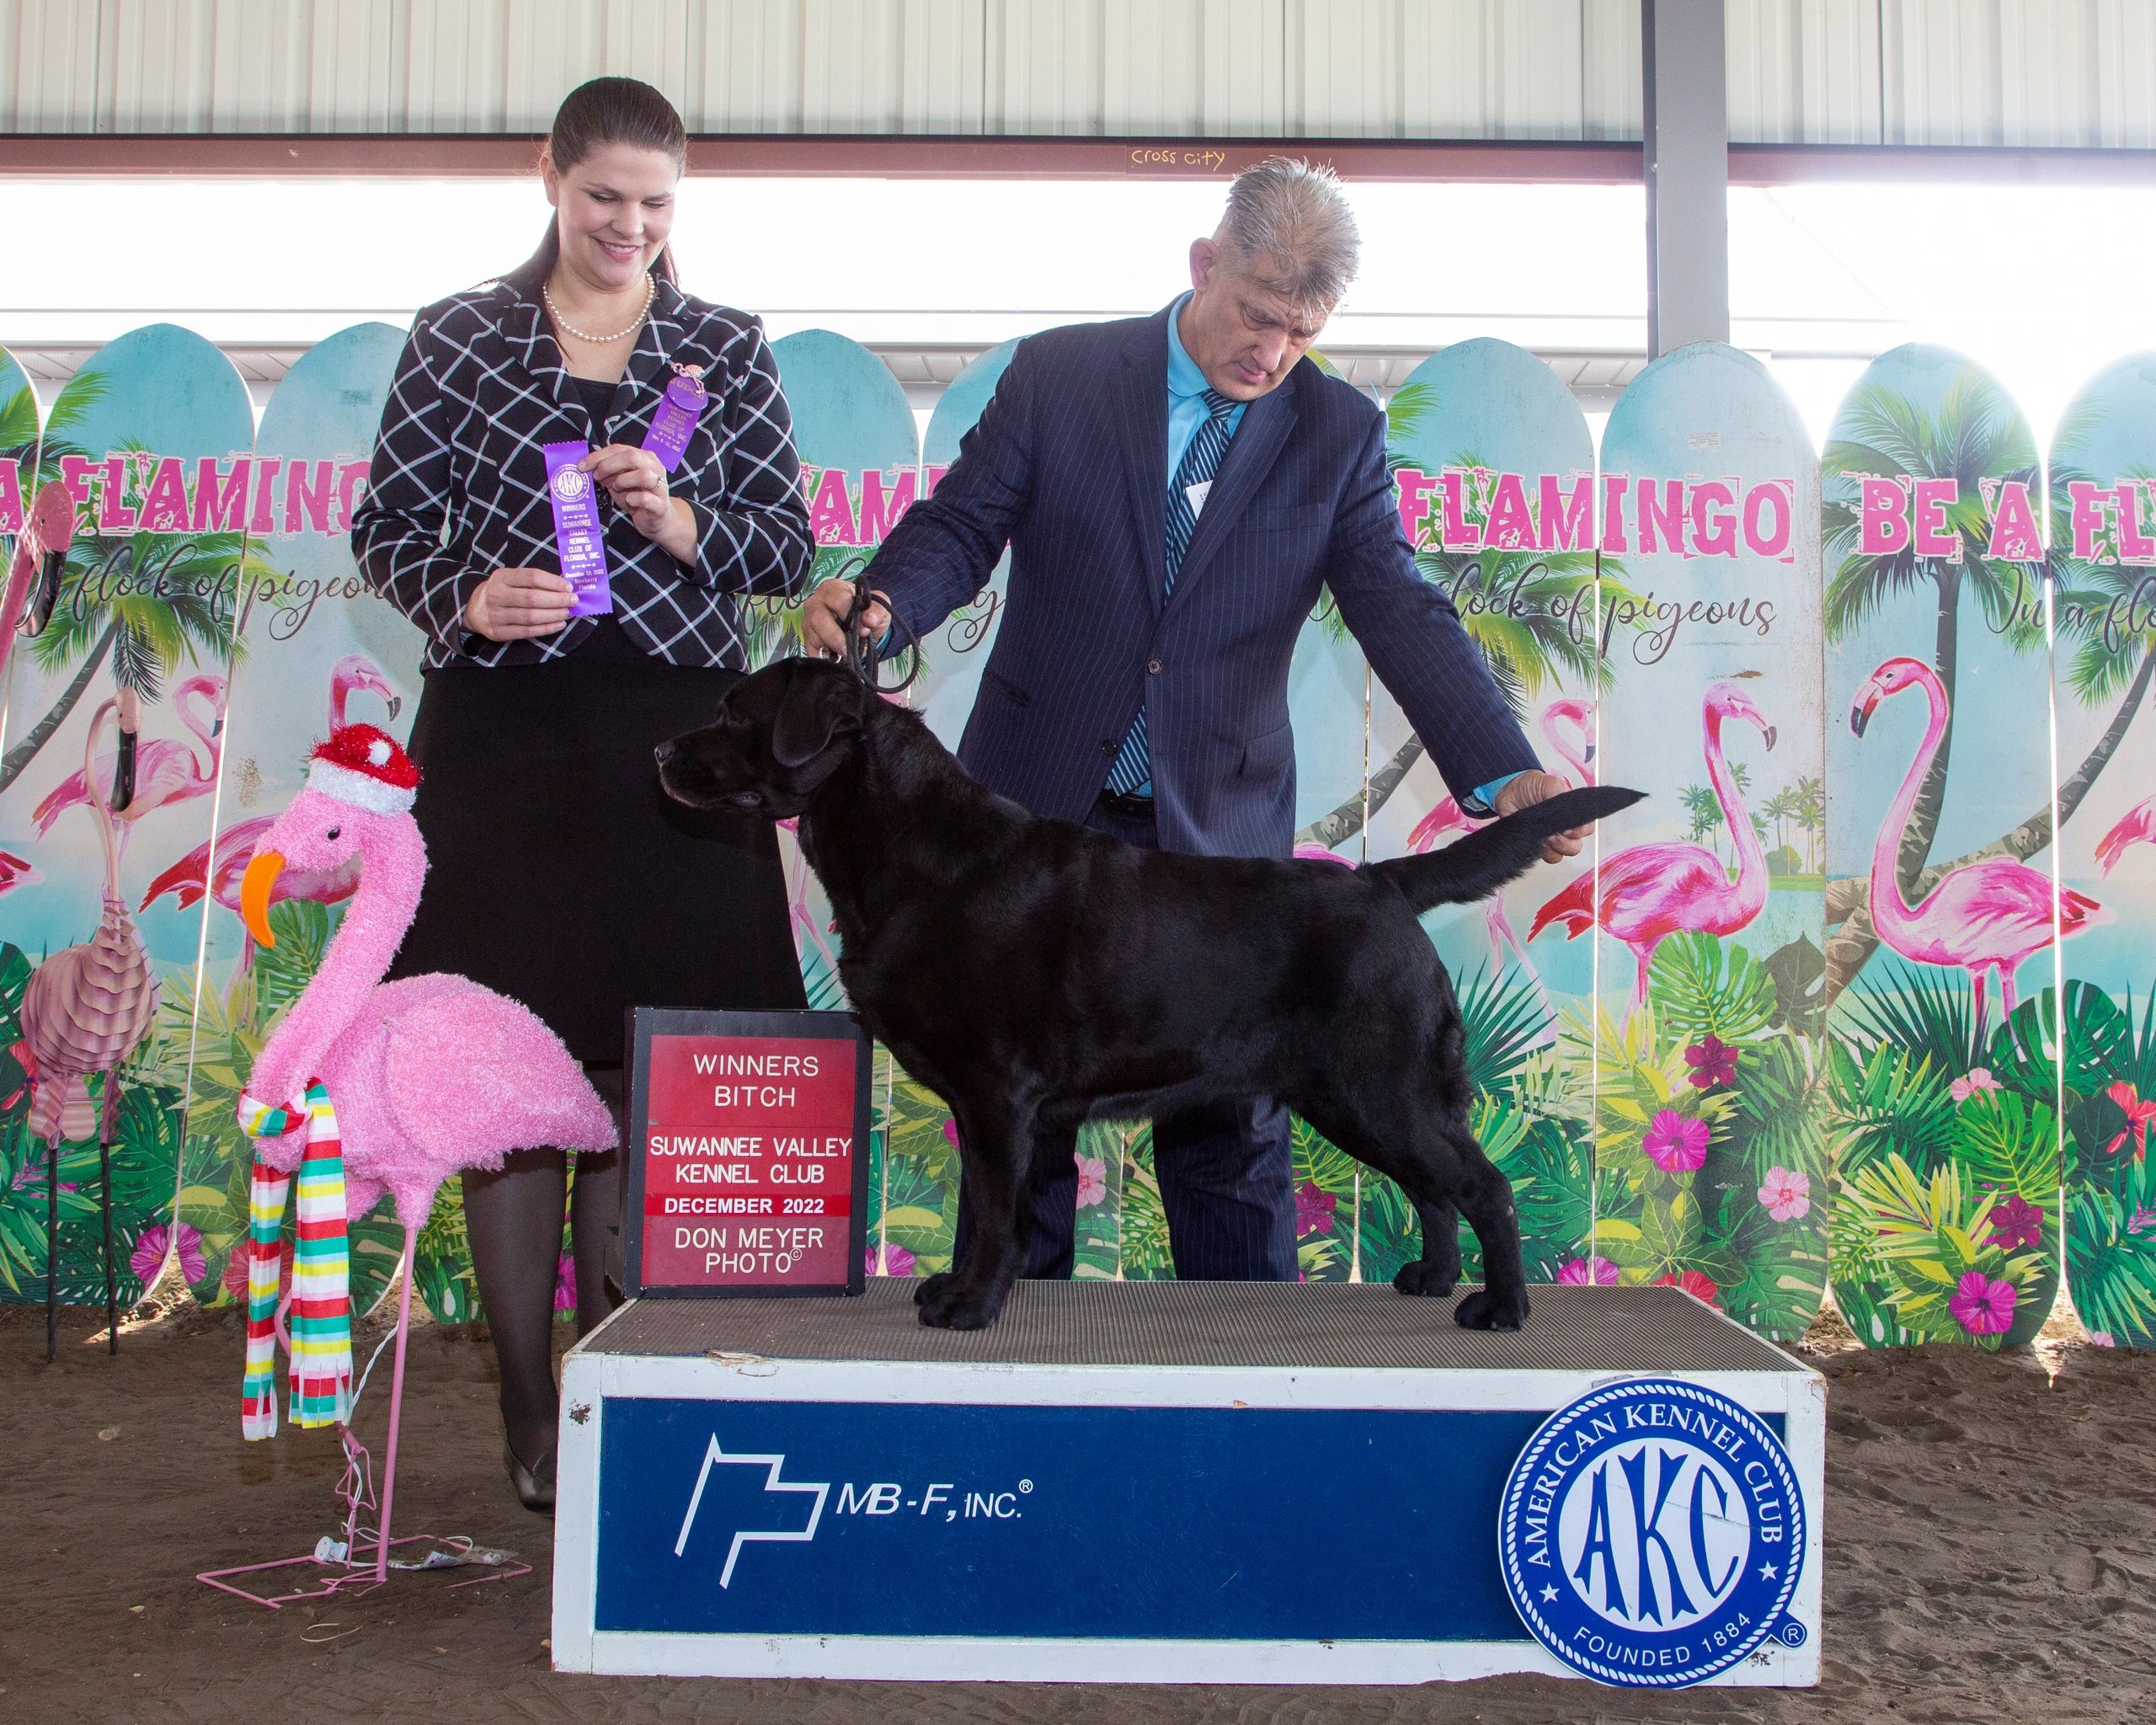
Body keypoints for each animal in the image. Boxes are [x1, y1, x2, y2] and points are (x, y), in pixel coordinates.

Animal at [655, 660, 1630, 1337]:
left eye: (736, 709)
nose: (661, 749)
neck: (911, 852)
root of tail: (1384, 882)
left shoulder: (998, 1093)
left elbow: (993, 1215)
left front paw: (968, 1305)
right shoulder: (983, 1104)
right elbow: (977, 1209)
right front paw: (951, 1288)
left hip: (1387, 1085)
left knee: (1483, 1185)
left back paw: (1499, 1308)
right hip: (1351, 1097)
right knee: (1433, 1188)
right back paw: (1430, 1279)